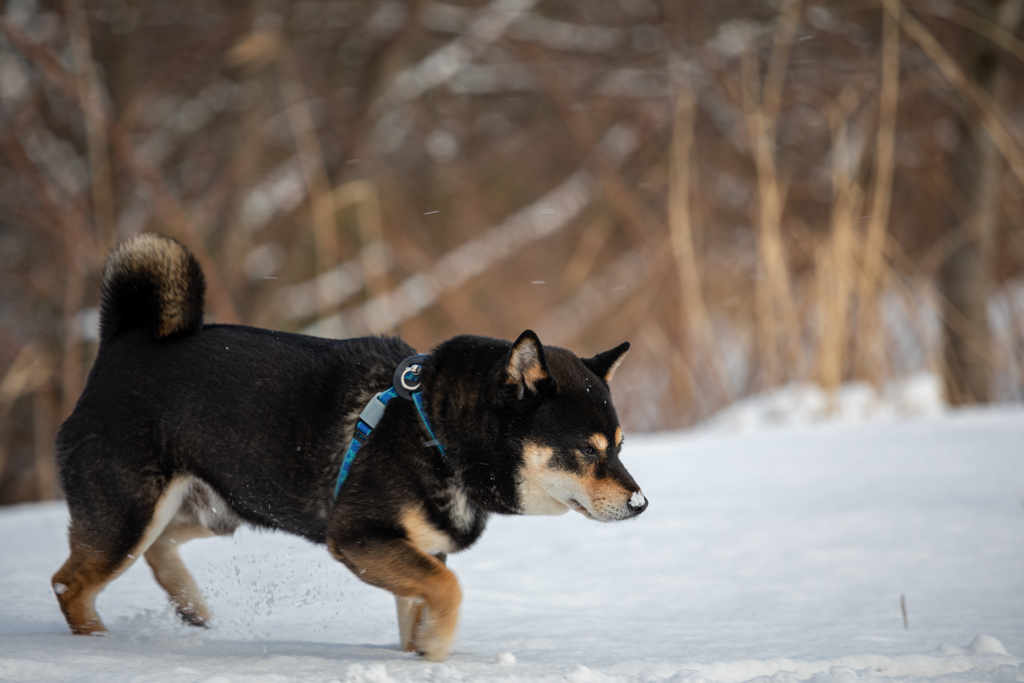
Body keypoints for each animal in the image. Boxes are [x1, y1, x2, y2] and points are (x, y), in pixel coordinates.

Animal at [49, 233, 647, 663]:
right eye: (587, 450)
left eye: (618, 446)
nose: (641, 504)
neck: (436, 432)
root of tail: (122, 344)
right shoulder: (359, 538)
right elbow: (448, 589)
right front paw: (437, 648)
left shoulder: (415, 550)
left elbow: (422, 604)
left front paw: (419, 653)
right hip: (127, 514)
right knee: (69, 584)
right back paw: (97, 645)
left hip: (217, 508)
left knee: (158, 548)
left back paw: (190, 604)